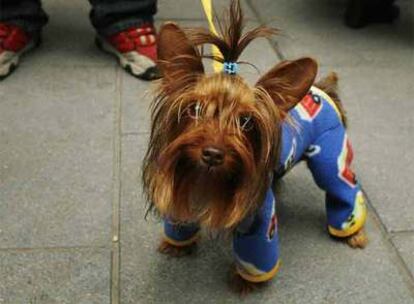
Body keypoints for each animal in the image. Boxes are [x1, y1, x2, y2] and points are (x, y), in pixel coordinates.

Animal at [143, 0, 368, 294]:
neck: (209, 180)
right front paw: (177, 244)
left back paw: (352, 231)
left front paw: (245, 281)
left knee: (343, 186)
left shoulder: (260, 218)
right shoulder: (181, 180)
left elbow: (257, 252)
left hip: (330, 155)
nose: (212, 154)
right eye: (195, 109)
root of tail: (322, 89)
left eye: (246, 121)